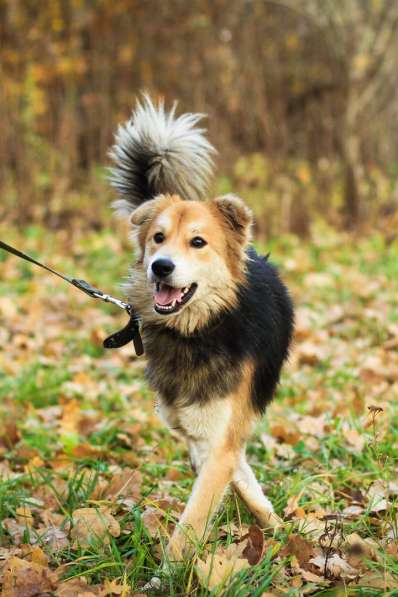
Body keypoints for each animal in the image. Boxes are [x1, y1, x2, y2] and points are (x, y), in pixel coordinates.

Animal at [108, 96, 292, 560]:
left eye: (197, 242)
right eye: (157, 238)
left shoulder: (218, 441)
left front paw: (169, 570)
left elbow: (195, 514)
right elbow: (226, 478)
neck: (197, 331)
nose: (160, 266)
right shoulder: (198, 433)